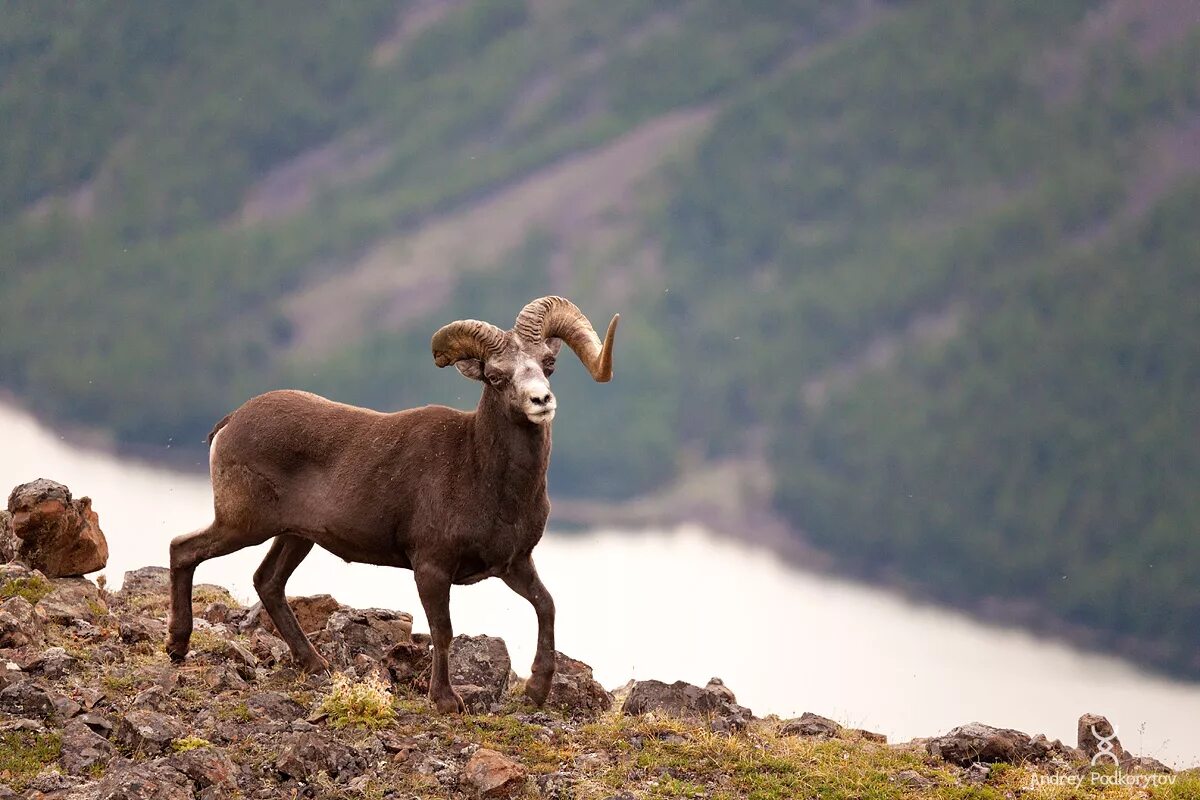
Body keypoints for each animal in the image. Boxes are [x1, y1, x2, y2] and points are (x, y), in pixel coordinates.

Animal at [166, 297, 619, 710]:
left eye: (547, 364)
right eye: (495, 376)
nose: (540, 401)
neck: (485, 477)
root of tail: (230, 423)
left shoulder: (514, 564)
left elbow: (547, 606)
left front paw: (537, 692)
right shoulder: (431, 567)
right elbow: (443, 631)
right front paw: (446, 701)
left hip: (295, 537)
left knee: (268, 582)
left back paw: (315, 665)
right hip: (242, 525)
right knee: (183, 549)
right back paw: (177, 646)